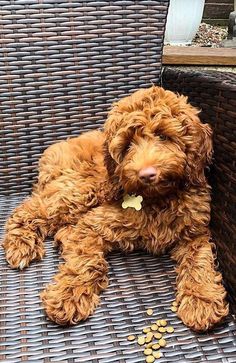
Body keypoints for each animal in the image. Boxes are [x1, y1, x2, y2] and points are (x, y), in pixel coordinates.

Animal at [3, 86, 229, 332]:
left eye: (163, 135)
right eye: (128, 144)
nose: (147, 174)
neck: (157, 199)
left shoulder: (195, 231)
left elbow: (199, 260)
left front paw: (202, 300)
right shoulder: (95, 223)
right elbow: (85, 259)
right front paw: (68, 294)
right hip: (83, 189)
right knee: (30, 210)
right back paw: (20, 245)